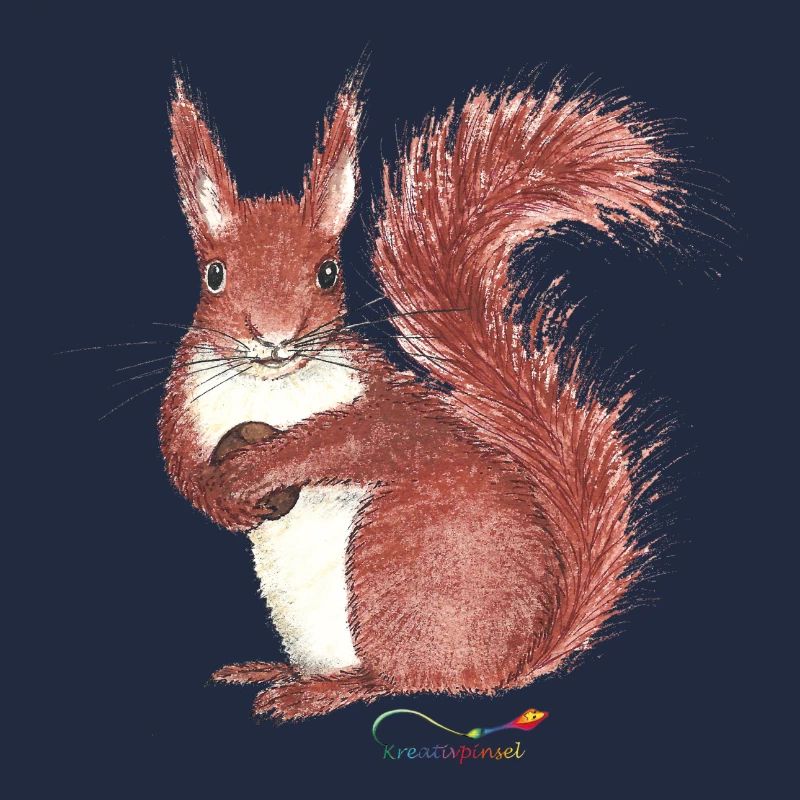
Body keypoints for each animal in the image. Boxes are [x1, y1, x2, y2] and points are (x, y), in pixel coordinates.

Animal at [159, 69, 678, 721]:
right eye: (214, 275)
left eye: (328, 273)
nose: (275, 339)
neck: (270, 387)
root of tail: (509, 666)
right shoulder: (185, 401)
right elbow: (180, 464)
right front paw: (219, 497)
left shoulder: (382, 403)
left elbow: (352, 438)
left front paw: (261, 466)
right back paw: (271, 670)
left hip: (392, 562)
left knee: (402, 680)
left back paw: (319, 692)